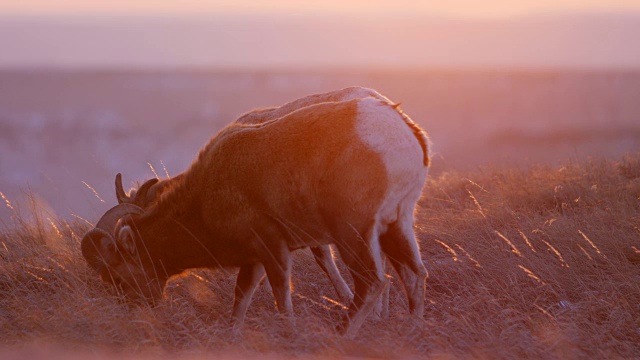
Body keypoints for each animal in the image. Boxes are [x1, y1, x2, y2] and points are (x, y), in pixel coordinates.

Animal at [81, 94, 430, 336]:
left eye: (118, 277)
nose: (135, 313)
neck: (208, 191)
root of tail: (402, 131)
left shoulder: (272, 248)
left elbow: (281, 298)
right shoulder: (254, 259)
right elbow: (242, 297)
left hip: (353, 233)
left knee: (372, 283)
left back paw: (341, 335)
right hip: (396, 225)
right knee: (415, 273)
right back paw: (412, 331)